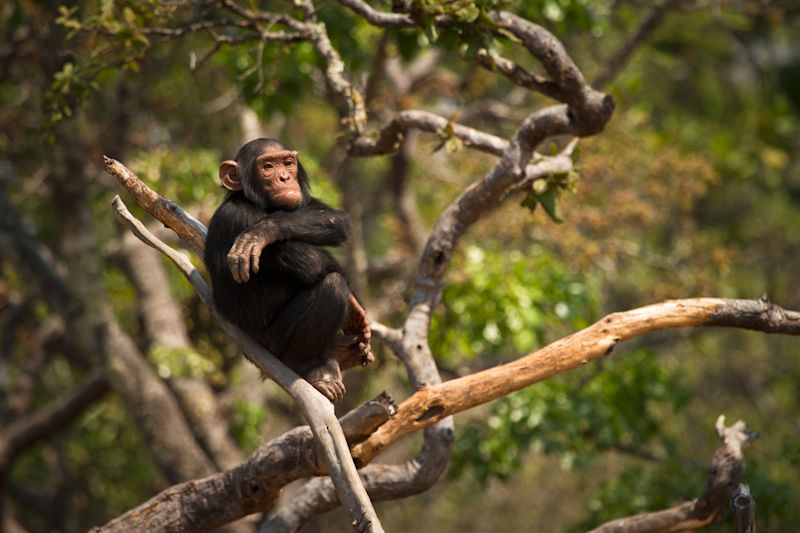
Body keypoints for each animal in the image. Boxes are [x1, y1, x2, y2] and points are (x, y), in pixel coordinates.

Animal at [203, 137, 372, 400]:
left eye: (288, 163)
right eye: (268, 166)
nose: (284, 178)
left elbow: (335, 218)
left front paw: (265, 230)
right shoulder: (239, 218)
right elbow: (313, 262)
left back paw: (339, 352)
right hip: (273, 345)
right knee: (332, 284)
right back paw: (310, 368)